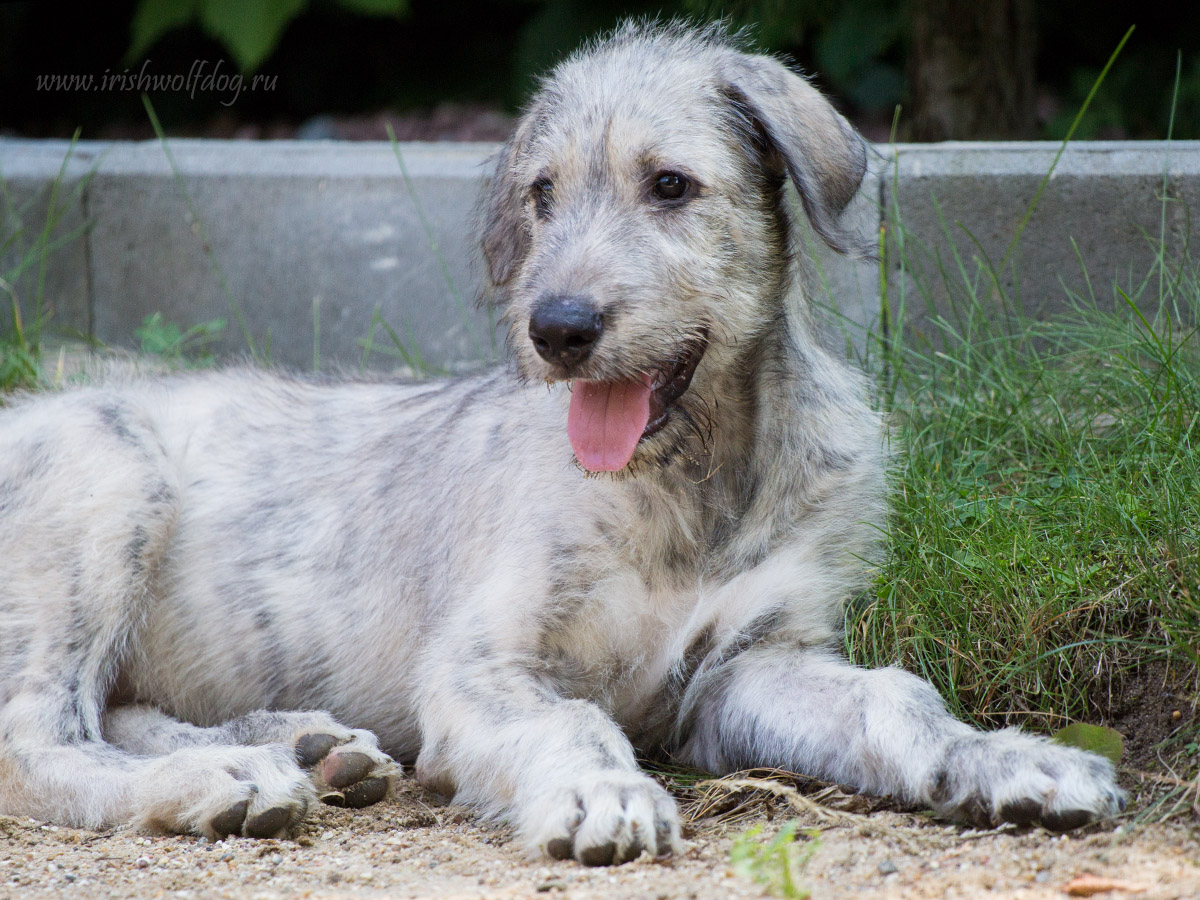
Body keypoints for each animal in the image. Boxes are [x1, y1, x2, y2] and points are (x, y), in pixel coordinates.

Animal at [0, 21, 1123, 868]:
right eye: (542, 195)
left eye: (670, 186)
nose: (558, 328)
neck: (691, 484)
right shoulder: (481, 662)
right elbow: (572, 719)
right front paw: (598, 791)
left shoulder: (747, 667)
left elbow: (895, 699)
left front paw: (1005, 760)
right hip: (103, 488)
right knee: (38, 739)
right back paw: (215, 777)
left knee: (106, 712)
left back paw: (305, 748)